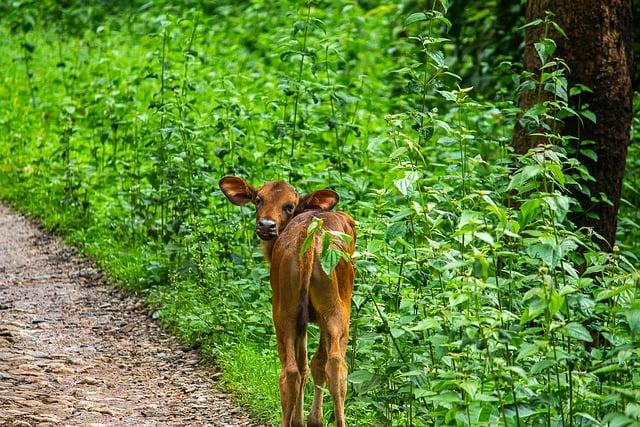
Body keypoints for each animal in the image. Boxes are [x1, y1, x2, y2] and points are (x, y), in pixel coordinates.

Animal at [220, 177, 356, 427]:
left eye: (289, 206)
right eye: (258, 199)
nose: (266, 225)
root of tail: (310, 237)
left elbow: (309, 364)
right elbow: (313, 364)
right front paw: (309, 419)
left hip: (286, 310)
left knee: (296, 370)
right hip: (330, 309)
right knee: (329, 366)